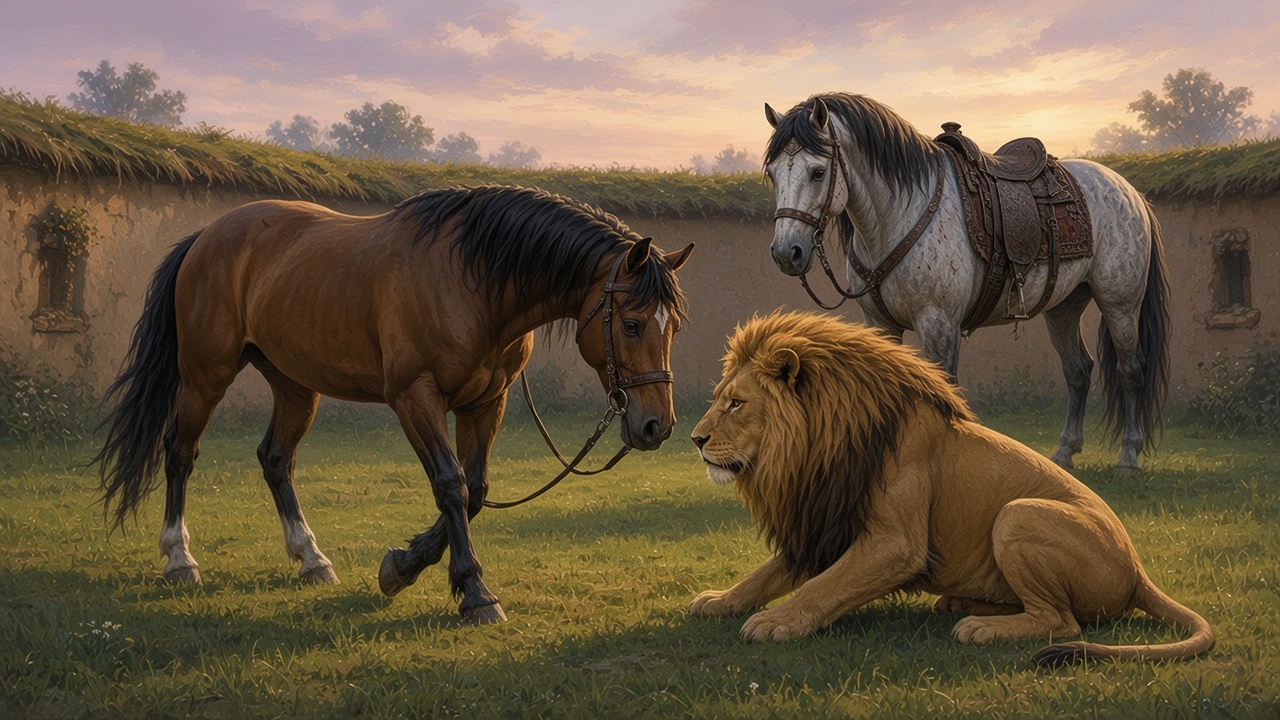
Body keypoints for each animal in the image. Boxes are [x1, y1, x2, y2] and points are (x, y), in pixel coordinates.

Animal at [689, 310, 1213, 665]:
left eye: (736, 403)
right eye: (718, 399)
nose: (695, 439)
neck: (814, 448)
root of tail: (1137, 569)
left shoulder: (895, 544)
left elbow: (823, 586)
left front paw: (776, 622)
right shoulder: (823, 525)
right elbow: (764, 576)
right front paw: (720, 600)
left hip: (1019, 514)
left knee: (1061, 620)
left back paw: (980, 626)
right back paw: (963, 602)